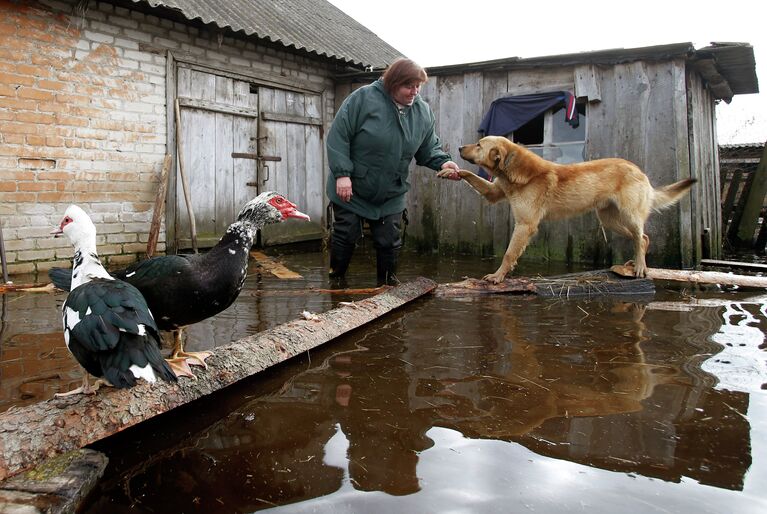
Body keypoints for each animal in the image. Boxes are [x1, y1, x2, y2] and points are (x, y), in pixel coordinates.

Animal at [438, 134, 696, 282]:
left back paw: (641, 266)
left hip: (629, 215)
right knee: (642, 237)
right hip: (611, 220)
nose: (459, 147)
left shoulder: (525, 225)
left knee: (641, 237)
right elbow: (471, 176)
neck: (513, 170)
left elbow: (509, 253)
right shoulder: (493, 193)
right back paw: (634, 262)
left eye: (479, 145)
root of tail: (640, 171)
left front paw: (498, 276)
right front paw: (451, 171)